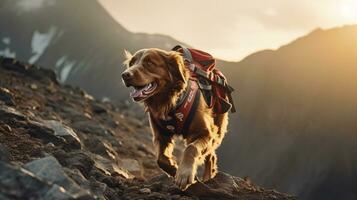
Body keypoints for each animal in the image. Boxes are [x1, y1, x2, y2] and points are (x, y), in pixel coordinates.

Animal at [121, 47, 228, 190]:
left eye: (150, 63)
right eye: (132, 63)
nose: (125, 75)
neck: (169, 103)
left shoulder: (205, 133)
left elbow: (191, 149)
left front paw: (184, 173)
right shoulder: (161, 134)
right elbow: (160, 159)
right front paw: (173, 169)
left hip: (217, 130)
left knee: (210, 155)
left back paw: (207, 177)